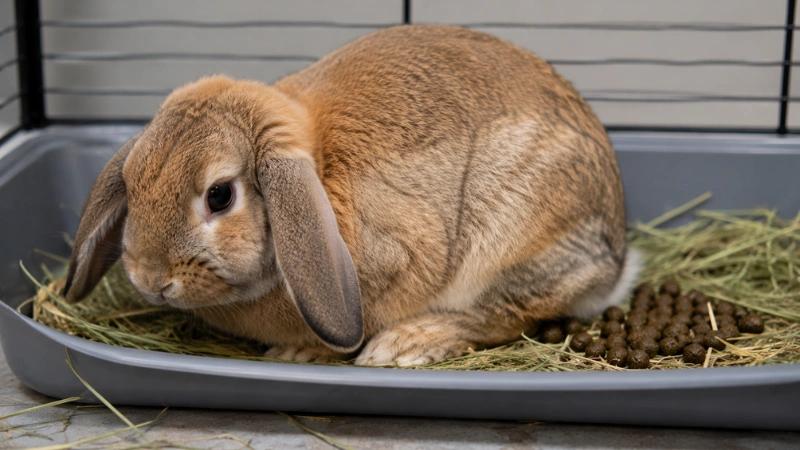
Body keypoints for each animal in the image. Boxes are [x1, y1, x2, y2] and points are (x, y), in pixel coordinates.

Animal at [63, 25, 641, 366]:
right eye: (133, 182)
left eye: (220, 195)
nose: (150, 279)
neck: (318, 171)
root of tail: (614, 260)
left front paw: (300, 355)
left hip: (509, 242)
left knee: (504, 315)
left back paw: (403, 346)